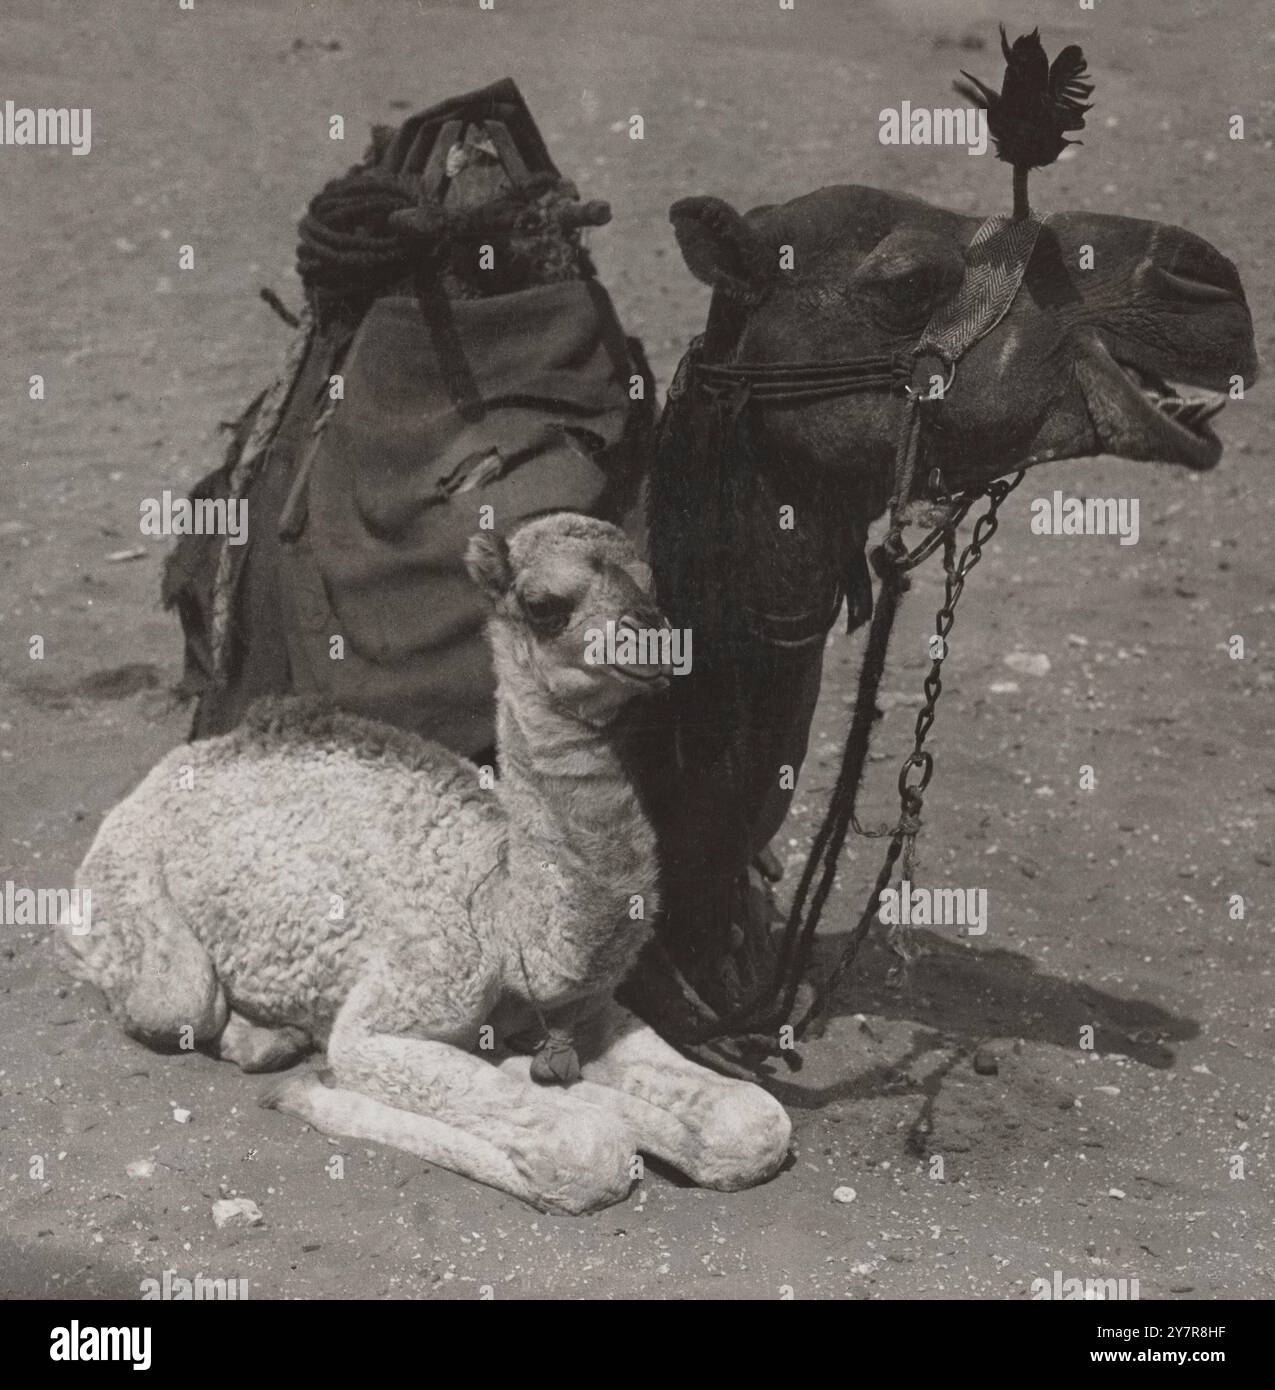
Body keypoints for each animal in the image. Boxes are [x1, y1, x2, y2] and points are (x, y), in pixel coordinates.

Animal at [64, 517, 789, 1212]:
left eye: (652, 584)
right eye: (544, 605)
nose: (656, 639)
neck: (506, 919)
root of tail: (172, 766)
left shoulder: (587, 1010)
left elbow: (754, 1122)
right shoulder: (399, 1005)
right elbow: (584, 1149)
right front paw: (318, 1089)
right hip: (127, 895)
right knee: (176, 998)